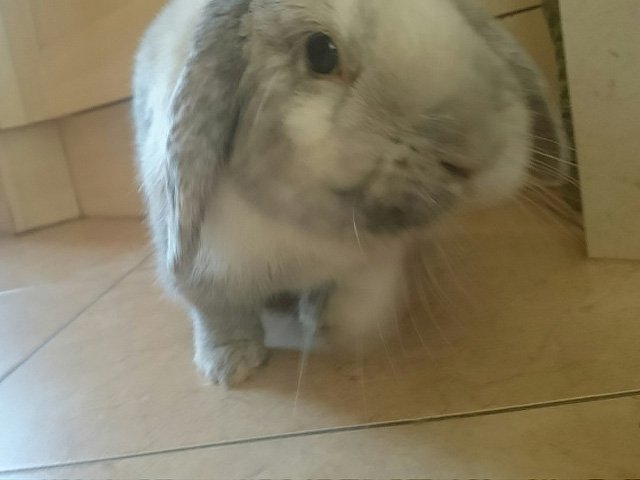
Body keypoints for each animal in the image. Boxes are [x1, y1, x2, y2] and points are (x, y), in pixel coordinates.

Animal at [132, 0, 567, 386]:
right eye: (320, 53)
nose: (478, 152)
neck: (306, 223)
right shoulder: (204, 273)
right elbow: (218, 314)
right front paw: (231, 367)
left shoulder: (370, 265)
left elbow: (356, 294)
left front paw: (333, 325)